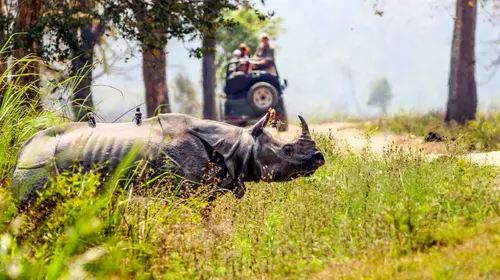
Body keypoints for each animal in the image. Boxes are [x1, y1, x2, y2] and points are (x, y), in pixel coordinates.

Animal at [11, 111, 326, 208]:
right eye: (287, 150)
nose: (320, 157)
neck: (239, 144)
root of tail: (21, 152)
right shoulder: (185, 192)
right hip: (37, 166)